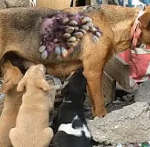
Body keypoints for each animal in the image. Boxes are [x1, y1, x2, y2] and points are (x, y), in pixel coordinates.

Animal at [0, 4, 150, 117]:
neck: (110, 23)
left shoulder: (90, 73)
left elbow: (94, 102)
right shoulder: (93, 72)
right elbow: (100, 102)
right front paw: (102, 117)